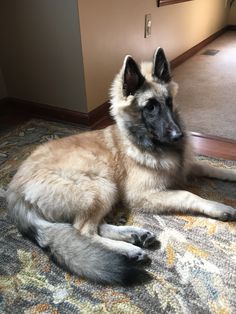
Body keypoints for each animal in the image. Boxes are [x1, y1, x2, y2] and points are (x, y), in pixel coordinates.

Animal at [6, 47, 236, 286]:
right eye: (150, 107)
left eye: (169, 102)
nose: (178, 135)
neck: (144, 141)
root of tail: (14, 192)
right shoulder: (144, 194)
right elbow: (187, 194)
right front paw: (218, 206)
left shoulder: (185, 168)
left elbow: (211, 167)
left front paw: (232, 172)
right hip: (100, 186)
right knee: (84, 232)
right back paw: (127, 249)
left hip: (103, 190)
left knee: (93, 227)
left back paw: (134, 236)